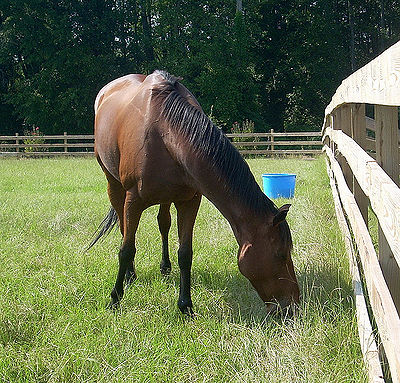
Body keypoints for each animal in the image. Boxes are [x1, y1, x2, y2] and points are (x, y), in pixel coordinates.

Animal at [90, 70, 298, 316]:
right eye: (281, 254)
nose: (293, 305)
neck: (164, 132)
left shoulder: (189, 201)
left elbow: (185, 253)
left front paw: (185, 304)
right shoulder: (134, 200)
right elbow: (126, 249)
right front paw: (115, 298)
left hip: (167, 197)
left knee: (163, 223)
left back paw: (165, 266)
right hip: (114, 185)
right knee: (124, 228)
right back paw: (130, 276)